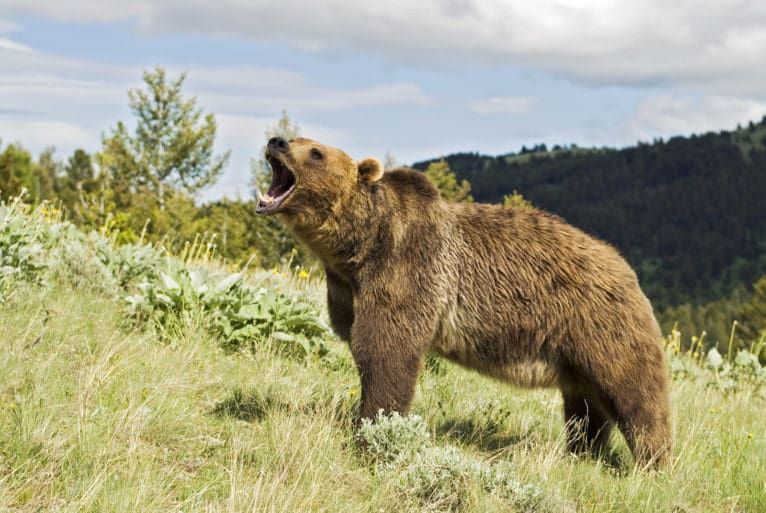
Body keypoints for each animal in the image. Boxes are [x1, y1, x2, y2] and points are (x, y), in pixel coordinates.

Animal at [256, 136, 672, 464]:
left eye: (315, 151)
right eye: (295, 139)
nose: (276, 141)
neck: (360, 247)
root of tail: (626, 269)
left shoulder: (410, 268)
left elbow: (387, 350)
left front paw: (373, 430)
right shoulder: (346, 288)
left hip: (602, 324)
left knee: (635, 394)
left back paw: (653, 461)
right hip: (576, 352)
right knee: (585, 406)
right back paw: (582, 452)